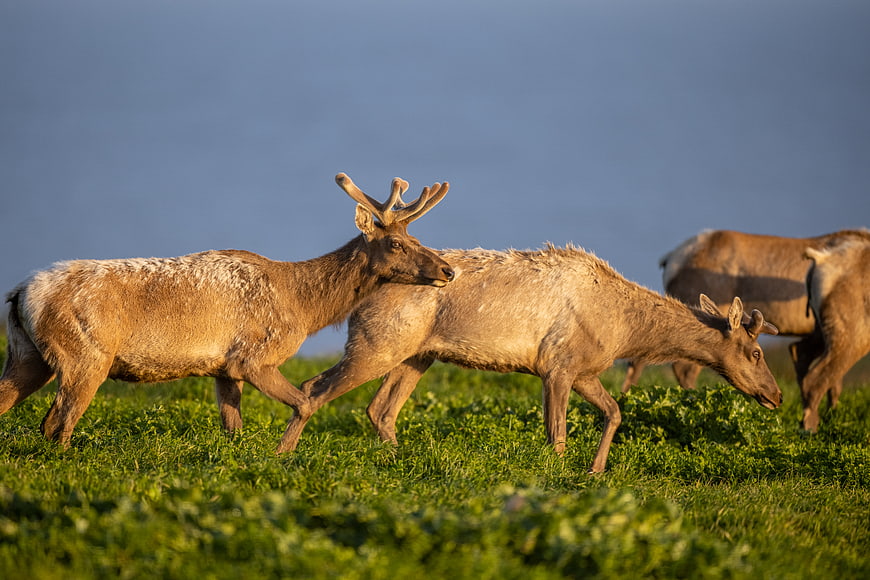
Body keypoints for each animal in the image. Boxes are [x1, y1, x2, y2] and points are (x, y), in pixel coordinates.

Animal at [0, 173, 455, 449]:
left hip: (27, 355)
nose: (447, 270)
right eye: (396, 244)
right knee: (57, 423)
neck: (302, 307)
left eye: (418, 238)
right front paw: (282, 453)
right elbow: (306, 402)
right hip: (86, 355)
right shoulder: (255, 356)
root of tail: (20, 292)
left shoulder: (224, 367)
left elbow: (233, 427)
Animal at [274, 244, 782, 473]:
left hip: (416, 355)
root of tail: (365, 292)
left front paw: (596, 469)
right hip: (377, 343)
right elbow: (556, 432)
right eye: (756, 351)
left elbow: (615, 412)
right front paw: (560, 473)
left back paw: (401, 459)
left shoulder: (585, 370)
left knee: (380, 409)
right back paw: (282, 453)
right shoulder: (558, 366)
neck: (624, 333)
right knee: (314, 388)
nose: (776, 396)